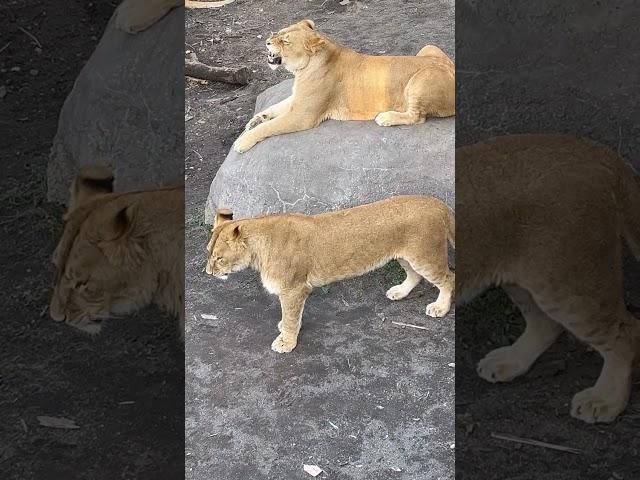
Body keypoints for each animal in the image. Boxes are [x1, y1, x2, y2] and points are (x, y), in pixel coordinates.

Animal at [205, 195, 456, 352]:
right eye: (208, 252)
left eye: (219, 258)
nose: (207, 272)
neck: (259, 249)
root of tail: (438, 203)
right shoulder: (296, 290)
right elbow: (293, 315)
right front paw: (287, 329)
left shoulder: (294, 289)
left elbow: (290, 316)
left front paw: (286, 342)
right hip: (406, 256)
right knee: (415, 275)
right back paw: (400, 292)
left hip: (425, 256)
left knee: (448, 278)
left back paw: (439, 308)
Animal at [234, 19, 456, 152]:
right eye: (279, 33)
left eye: (286, 41)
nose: (267, 42)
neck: (302, 70)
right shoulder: (298, 99)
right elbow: (273, 109)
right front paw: (254, 121)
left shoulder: (303, 115)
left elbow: (269, 127)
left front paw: (242, 141)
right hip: (428, 47)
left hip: (423, 77)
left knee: (417, 117)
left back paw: (385, 117)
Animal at [458, 134, 640, 424]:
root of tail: (599, 153)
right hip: (530, 279)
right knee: (545, 324)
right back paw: (512, 361)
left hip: (569, 284)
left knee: (627, 333)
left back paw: (605, 400)